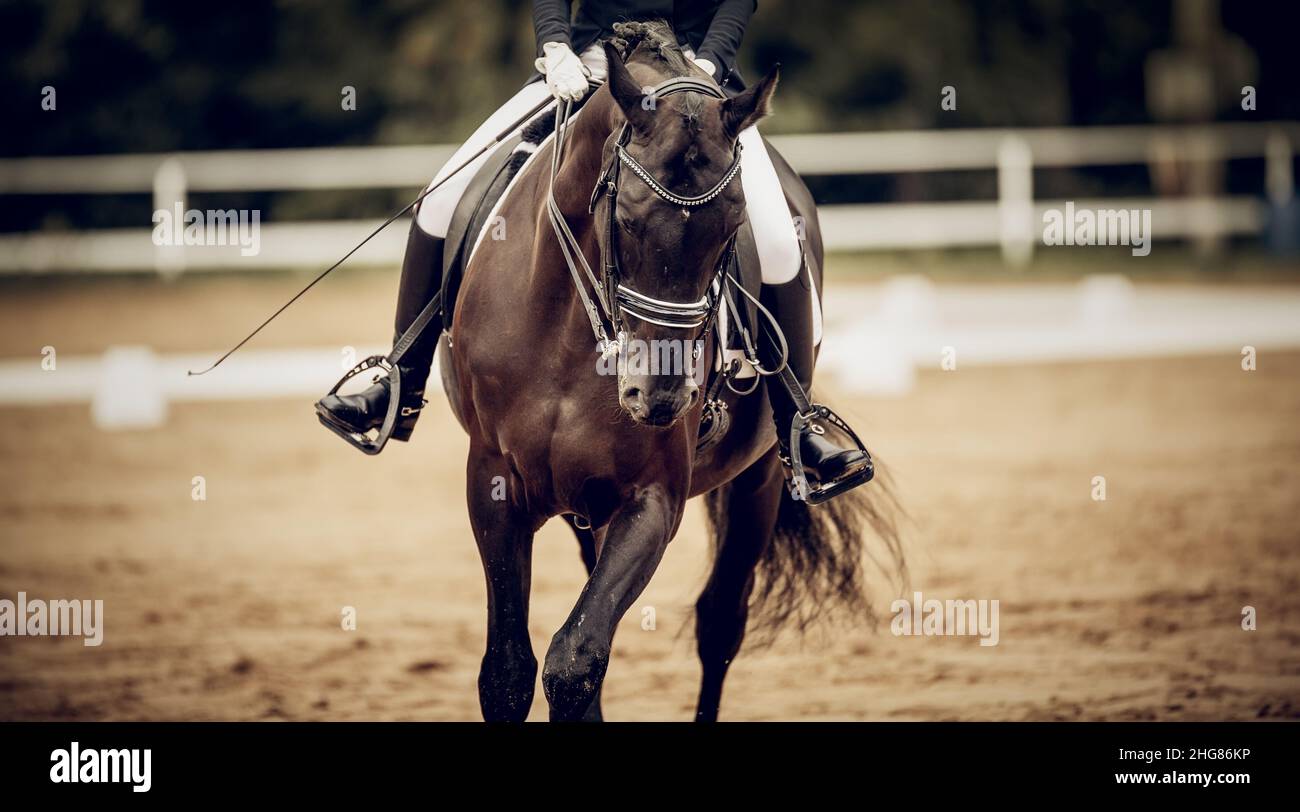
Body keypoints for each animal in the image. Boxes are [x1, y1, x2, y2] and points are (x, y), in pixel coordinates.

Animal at [436, 19, 904, 717]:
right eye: (625, 219)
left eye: (733, 224)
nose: (657, 399)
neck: (572, 332)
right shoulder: (493, 482)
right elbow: (510, 672)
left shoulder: (653, 496)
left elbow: (575, 658)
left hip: (760, 479)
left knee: (720, 624)